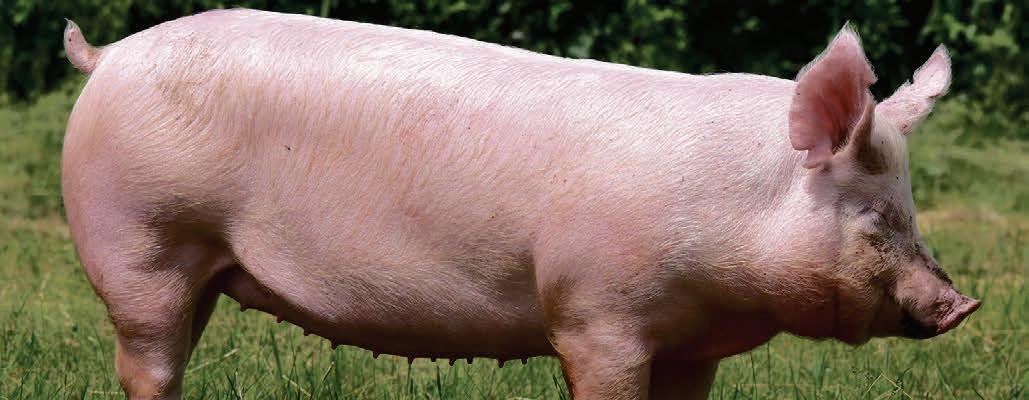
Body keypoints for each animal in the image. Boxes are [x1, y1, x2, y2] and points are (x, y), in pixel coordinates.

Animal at [61, 9, 979, 400]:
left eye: (909, 210)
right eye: (874, 220)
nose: (960, 303)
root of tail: (107, 55)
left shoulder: (692, 346)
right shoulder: (595, 314)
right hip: (140, 241)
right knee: (147, 359)